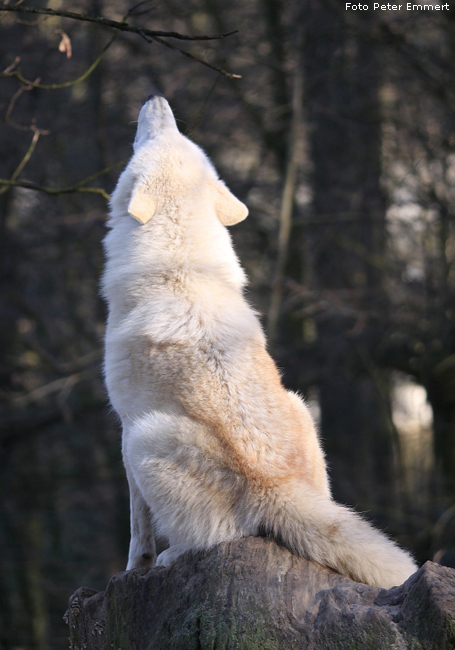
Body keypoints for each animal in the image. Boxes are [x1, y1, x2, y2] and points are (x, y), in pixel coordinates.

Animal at [102, 95, 416, 588]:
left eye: (165, 134)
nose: (158, 99)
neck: (178, 264)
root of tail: (278, 489)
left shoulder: (123, 427)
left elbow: (138, 530)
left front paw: (134, 568)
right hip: (302, 405)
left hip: (145, 437)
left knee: (213, 539)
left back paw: (173, 557)